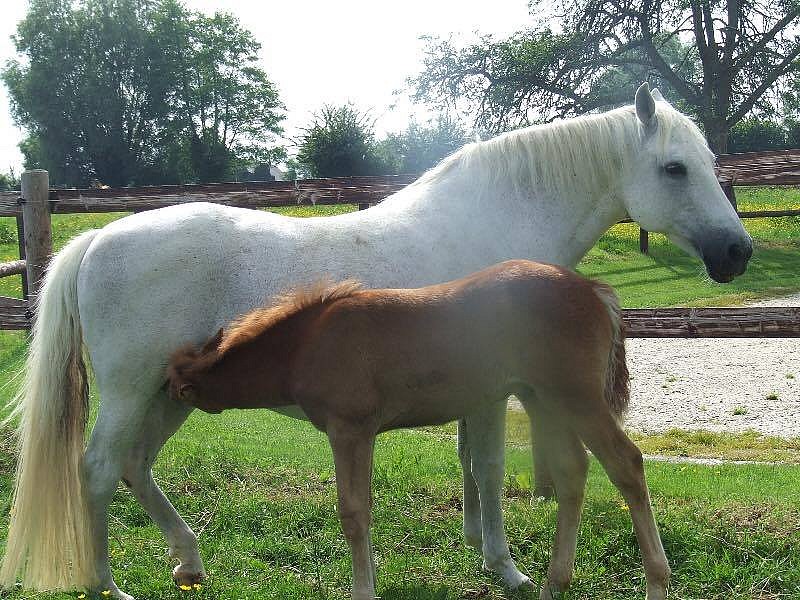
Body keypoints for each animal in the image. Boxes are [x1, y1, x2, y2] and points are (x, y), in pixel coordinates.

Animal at [167, 258, 668, 600]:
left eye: (176, 387)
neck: (307, 342)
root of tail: (592, 289)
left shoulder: (350, 429)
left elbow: (354, 513)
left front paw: (363, 591)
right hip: (540, 397)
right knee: (571, 473)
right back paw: (553, 583)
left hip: (577, 398)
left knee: (626, 464)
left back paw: (655, 584)